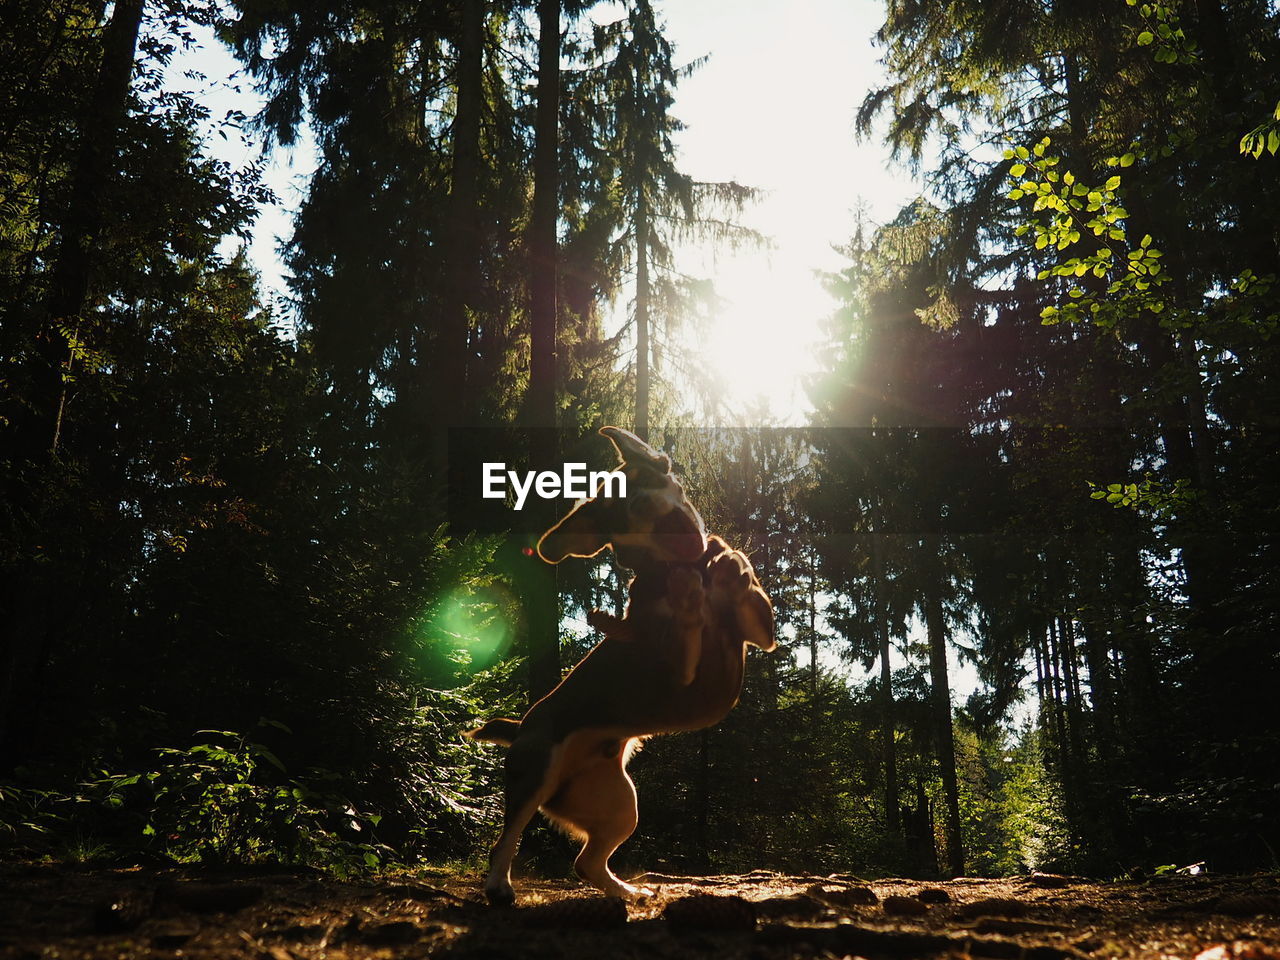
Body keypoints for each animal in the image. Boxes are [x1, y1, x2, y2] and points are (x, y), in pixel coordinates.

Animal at [468, 427, 773, 911]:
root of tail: (518, 730)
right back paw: (500, 887)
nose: (648, 509)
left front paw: (729, 566)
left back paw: (628, 891)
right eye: (619, 514)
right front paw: (689, 600)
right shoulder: (672, 674)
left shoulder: (760, 636)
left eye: (648, 480)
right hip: (535, 774)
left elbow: (750, 595)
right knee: (506, 841)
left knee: (586, 862)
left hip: (620, 806)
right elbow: (681, 636)